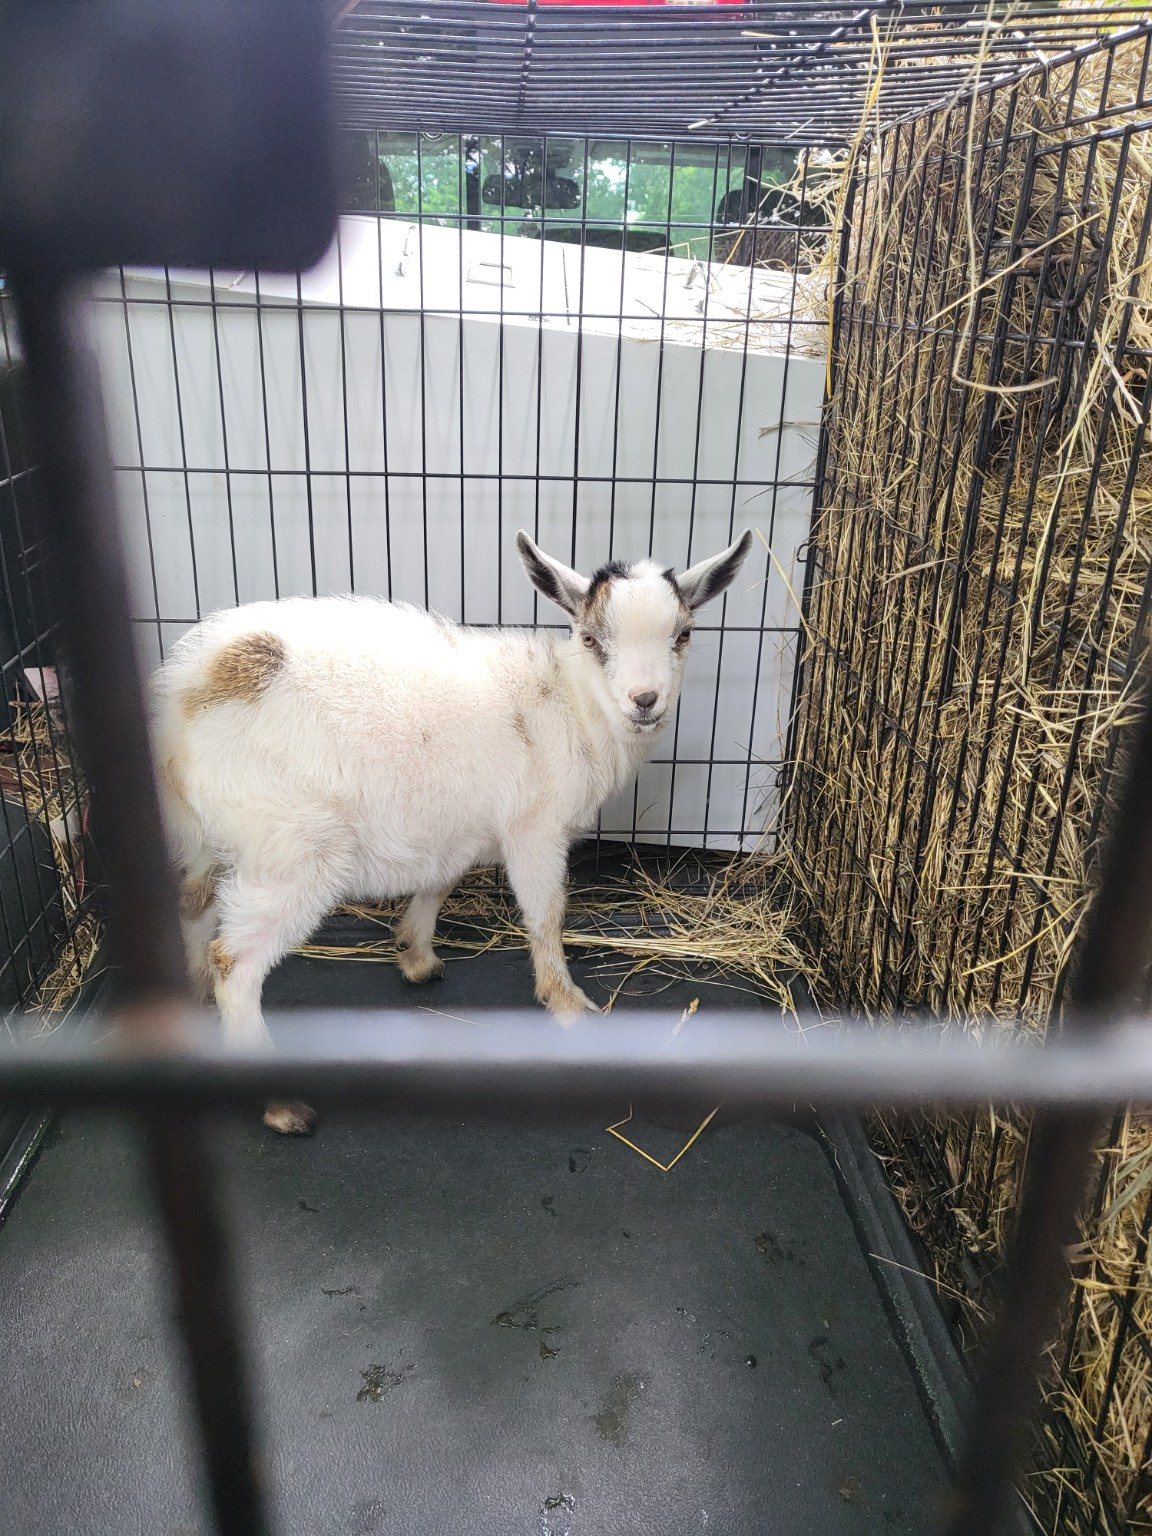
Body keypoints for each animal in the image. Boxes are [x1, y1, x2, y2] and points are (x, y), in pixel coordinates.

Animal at [151, 528, 752, 1133]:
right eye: (589, 638)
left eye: (683, 634)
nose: (645, 701)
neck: (573, 704)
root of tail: (186, 693)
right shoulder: (534, 827)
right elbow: (547, 913)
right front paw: (565, 1003)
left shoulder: (459, 821)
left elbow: (440, 881)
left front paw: (416, 956)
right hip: (292, 846)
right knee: (234, 960)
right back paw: (279, 1102)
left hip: (214, 834)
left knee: (193, 902)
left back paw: (196, 1010)